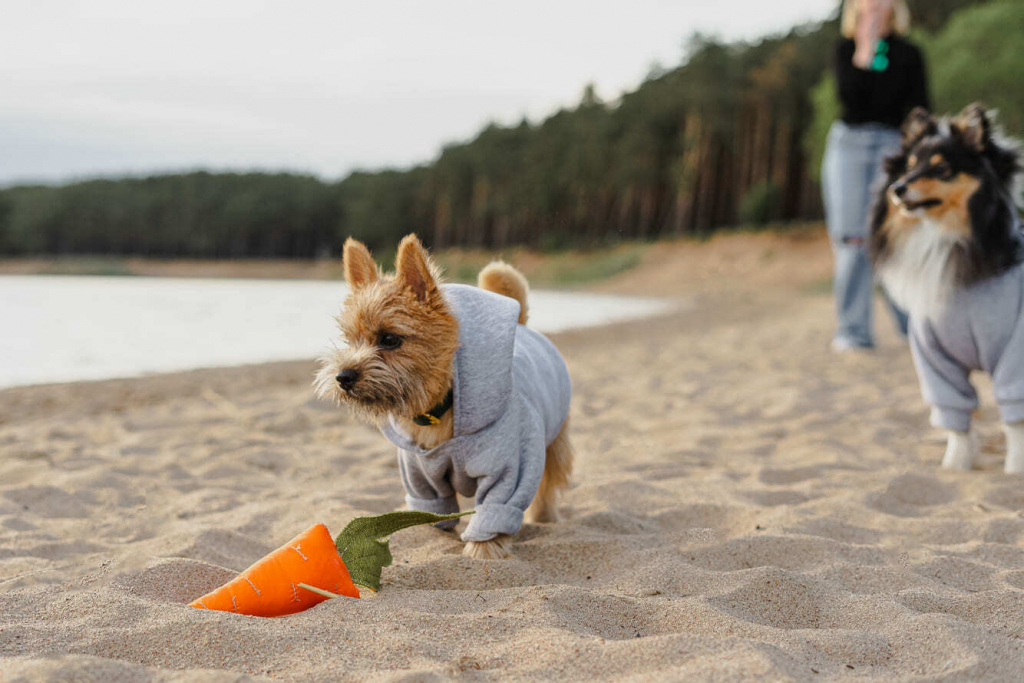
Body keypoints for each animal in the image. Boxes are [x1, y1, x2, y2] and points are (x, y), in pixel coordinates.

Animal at [315, 232, 573, 557]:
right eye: (349, 340)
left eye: (390, 339)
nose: (343, 377)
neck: (437, 411)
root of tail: (522, 325)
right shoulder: (422, 479)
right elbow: (431, 512)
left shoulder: (508, 468)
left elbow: (495, 508)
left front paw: (481, 550)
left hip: (553, 441)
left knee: (548, 486)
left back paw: (544, 518)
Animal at [872, 102, 1024, 475]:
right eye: (910, 166)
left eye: (942, 169)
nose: (897, 188)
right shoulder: (933, 357)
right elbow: (955, 417)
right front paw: (954, 466)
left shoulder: (1015, 352)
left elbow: (1014, 420)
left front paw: (1015, 468)